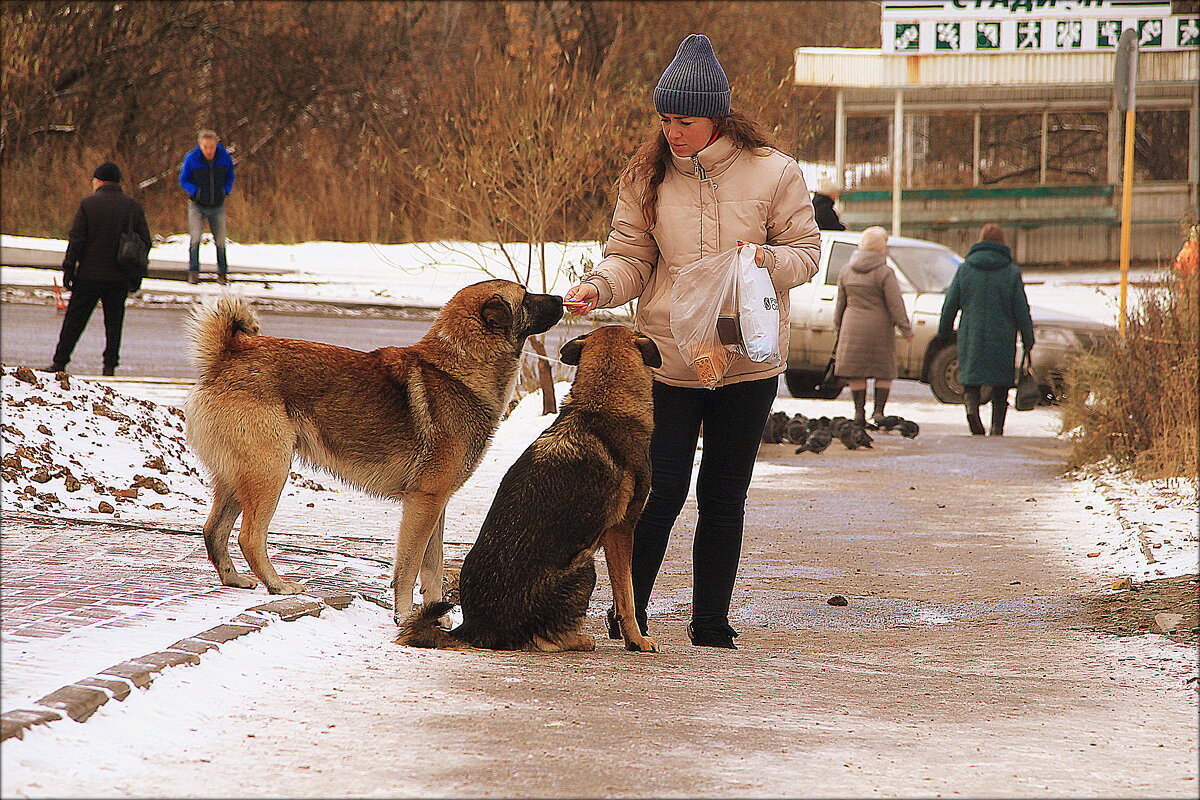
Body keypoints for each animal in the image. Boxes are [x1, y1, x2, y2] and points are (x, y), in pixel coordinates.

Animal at [184, 278, 564, 618]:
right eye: (526, 296)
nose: (562, 298)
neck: (458, 368)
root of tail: (227, 355)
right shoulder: (423, 504)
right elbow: (409, 567)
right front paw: (404, 616)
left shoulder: (436, 505)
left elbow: (432, 568)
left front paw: (435, 616)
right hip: (269, 473)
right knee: (249, 537)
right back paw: (278, 585)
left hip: (239, 479)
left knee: (214, 530)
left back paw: (234, 580)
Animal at [403, 326, 667, 652]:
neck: (602, 402)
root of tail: (476, 628)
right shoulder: (621, 530)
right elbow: (626, 595)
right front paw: (636, 638)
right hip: (585, 564)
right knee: (543, 640)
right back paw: (578, 639)